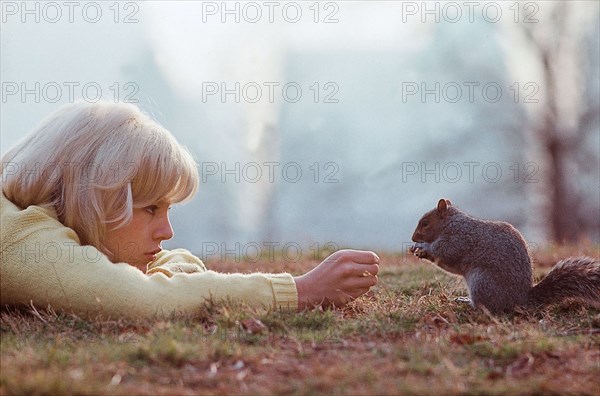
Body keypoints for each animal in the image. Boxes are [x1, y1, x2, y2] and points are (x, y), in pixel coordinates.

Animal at [408, 198, 600, 312]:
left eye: (425, 223)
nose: (413, 237)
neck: (450, 223)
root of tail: (520, 300)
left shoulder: (458, 238)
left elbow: (445, 253)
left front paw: (423, 247)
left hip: (481, 282)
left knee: (486, 308)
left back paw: (467, 303)